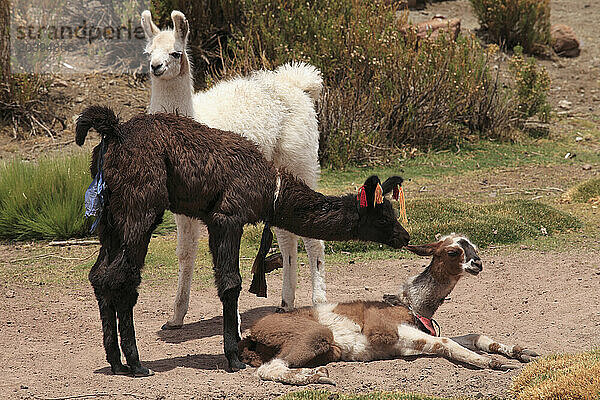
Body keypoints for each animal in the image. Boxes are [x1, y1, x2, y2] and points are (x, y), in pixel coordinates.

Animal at [76, 105, 412, 376]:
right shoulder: (227, 217)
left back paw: (115, 362)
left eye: (393, 213)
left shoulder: (214, 221)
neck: (271, 189)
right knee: (122, 277)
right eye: (383, 218)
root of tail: (114, 132)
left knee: (100, 275)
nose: (404, 236)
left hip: (110, 216)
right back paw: (135, 364)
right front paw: (234, 357)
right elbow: (230, 283)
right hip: (140, 205)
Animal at [239, 234, 540, 384]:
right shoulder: (385, 331)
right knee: (268, 369)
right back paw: (315, 376)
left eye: (475, 248)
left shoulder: (407, 342)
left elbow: (473, 337)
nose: (477, 264)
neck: (413, 305)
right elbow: (445, 342)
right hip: (311, 333)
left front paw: (521, 351)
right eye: (453, 251)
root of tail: (252, 333)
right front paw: (492, 362)